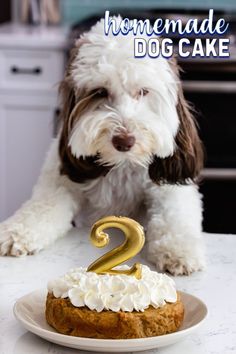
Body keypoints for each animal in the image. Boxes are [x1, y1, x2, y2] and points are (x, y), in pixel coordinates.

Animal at [0, 18, 205, 276]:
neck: (121, 165)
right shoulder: (60, 183)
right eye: (99, 92)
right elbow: (41, 208)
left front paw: (179, 251)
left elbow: (175, 215)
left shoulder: (167, 187)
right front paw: (15, 233)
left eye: (143, 91)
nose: (124, 141)